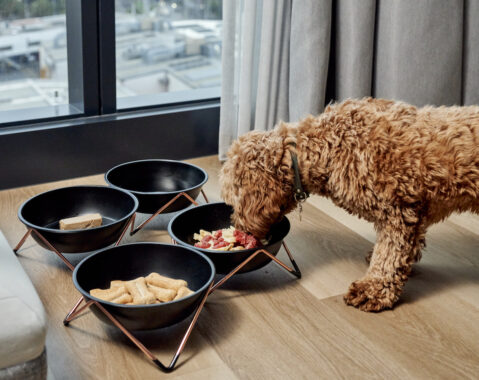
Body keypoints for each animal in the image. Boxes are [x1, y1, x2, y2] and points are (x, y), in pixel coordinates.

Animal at [220, 97, 479, 312]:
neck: (327, 146)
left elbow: (389, 256)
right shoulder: (414, 211)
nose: (237, 227)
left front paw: (373, 289)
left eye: (233, 200)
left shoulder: (397, 212)